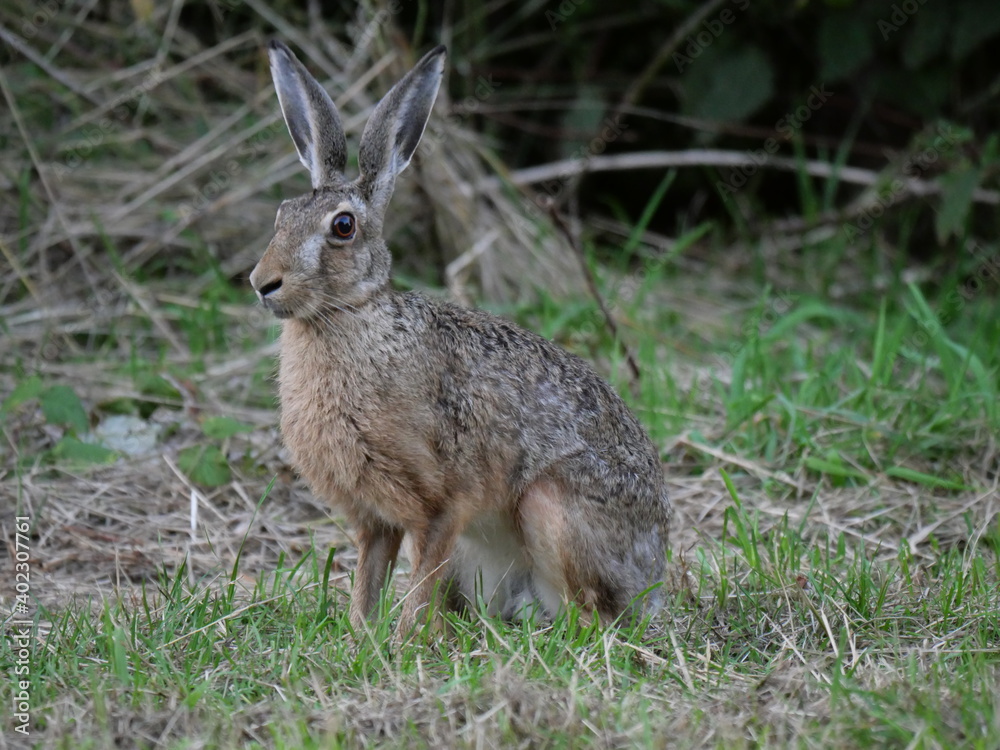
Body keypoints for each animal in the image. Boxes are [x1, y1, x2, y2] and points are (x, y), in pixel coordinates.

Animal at [250, 39, 672, 639]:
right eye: (282, 215)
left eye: (343, 227)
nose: (263, 282)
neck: (349, 317)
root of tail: (652, 577)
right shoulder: (374, 518)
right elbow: (368, 581)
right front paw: (359, 638)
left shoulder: (442, 502)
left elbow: (419, 580)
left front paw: (402, 642)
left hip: (551, 508)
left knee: (591, 616)